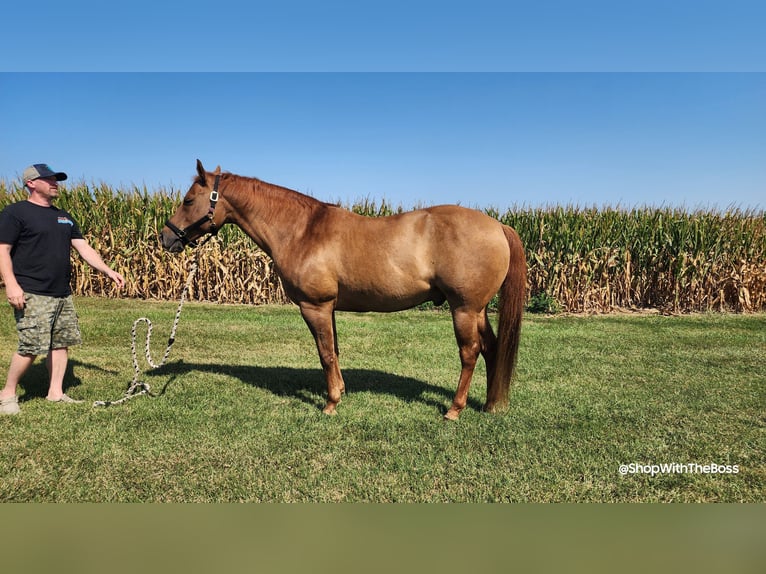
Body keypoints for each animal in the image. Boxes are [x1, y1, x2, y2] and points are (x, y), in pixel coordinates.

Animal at [162, 160, 528, 420]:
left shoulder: (316, 306)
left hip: (464, 308)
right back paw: (490, 404)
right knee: (491, 348)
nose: (166, 238)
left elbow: (325, 354)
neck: (301, 230)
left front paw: (330, 403)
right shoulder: (329, 308)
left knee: (470, 353)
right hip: (477, 310)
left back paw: (454, 410)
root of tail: (498, 225)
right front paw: (340, 391)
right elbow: (334, 351)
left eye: (189, 199)